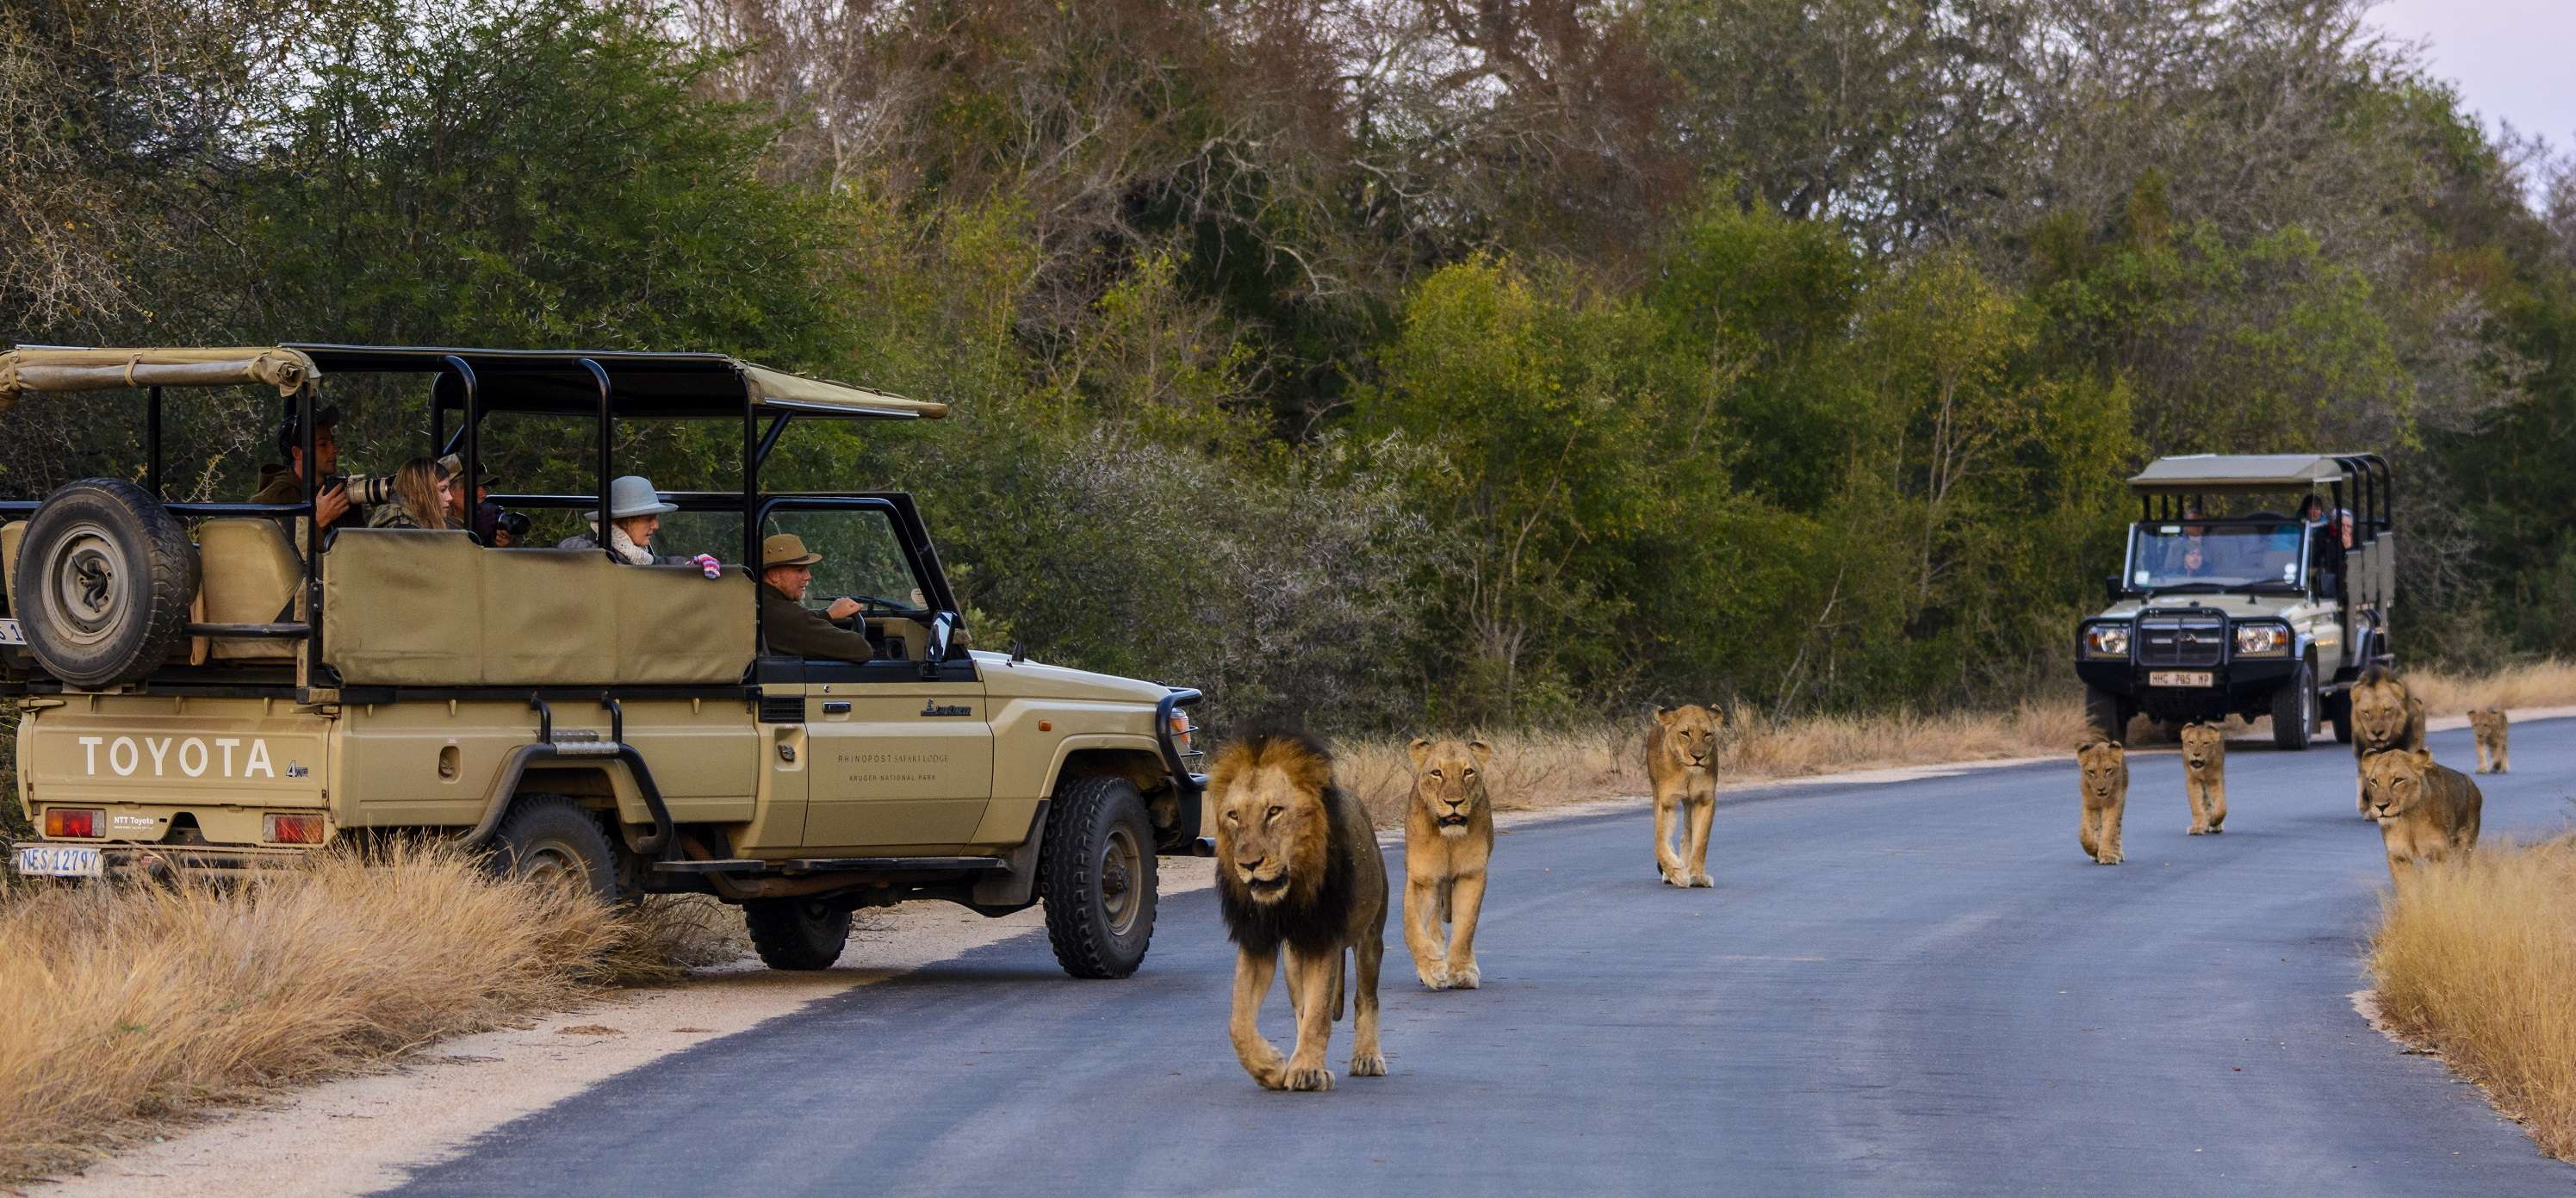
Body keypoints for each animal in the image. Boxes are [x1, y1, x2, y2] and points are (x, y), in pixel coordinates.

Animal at [1210, 721, 1391, 1087]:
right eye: (1233, 816)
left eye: (1274, 812)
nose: (1248, 864)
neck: (1287, 897)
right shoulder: (1257, 940)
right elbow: (1239, 1022)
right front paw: (1271, 1067)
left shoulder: (1324, 937)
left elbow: (1320, 1013)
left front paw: (1307, 1070)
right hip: (1294, 958)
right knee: (1300, 1007)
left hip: (1369, 937)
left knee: (1366, 998)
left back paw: (1366, 1057)